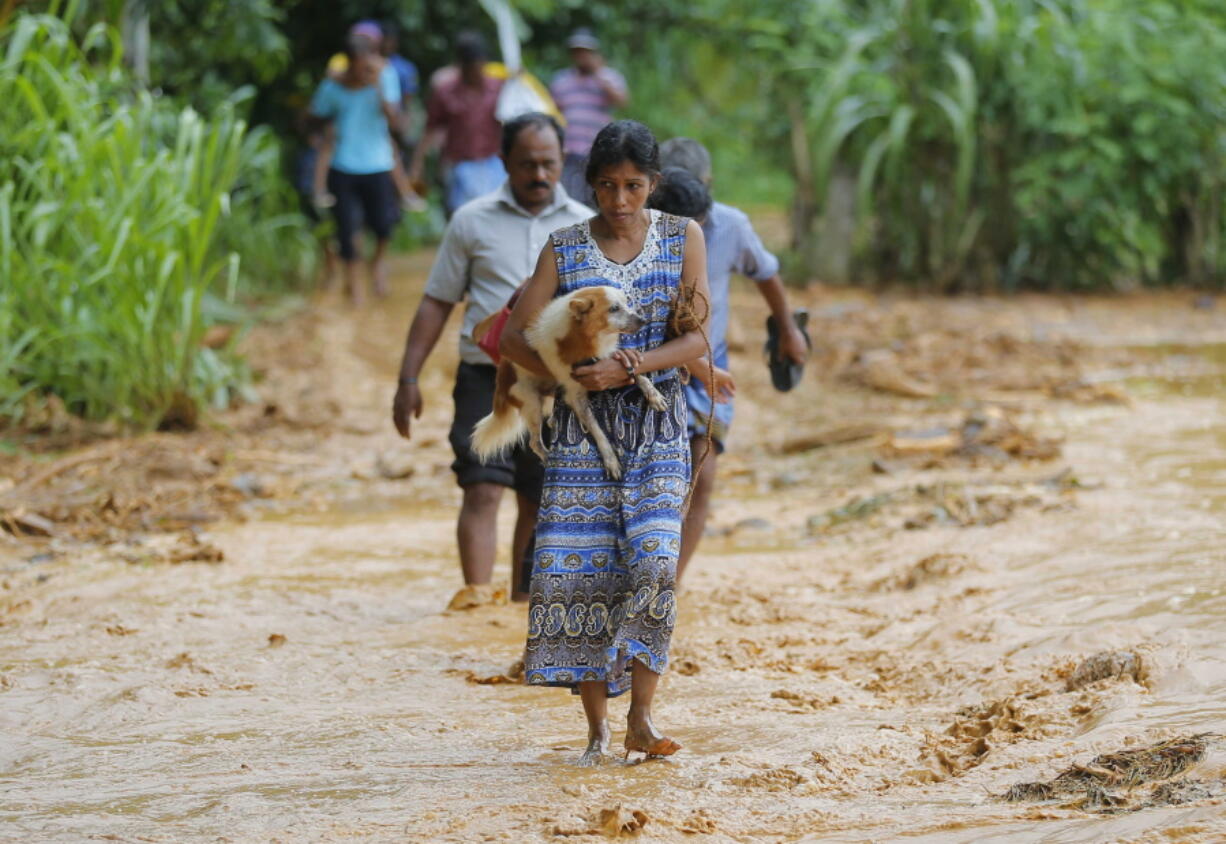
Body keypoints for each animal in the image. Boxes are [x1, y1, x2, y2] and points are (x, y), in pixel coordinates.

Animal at [468, 287, 666, 478]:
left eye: (626, 303)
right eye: (614, 308)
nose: (642, 320)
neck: (580, 334)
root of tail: (501, 381)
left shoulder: (607, 361)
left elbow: (638, 374)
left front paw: (654, 395)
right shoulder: (575, 395)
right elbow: (598, 431)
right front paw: (611, 461)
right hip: (531, 403)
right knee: (534, 442)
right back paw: (547, 457)